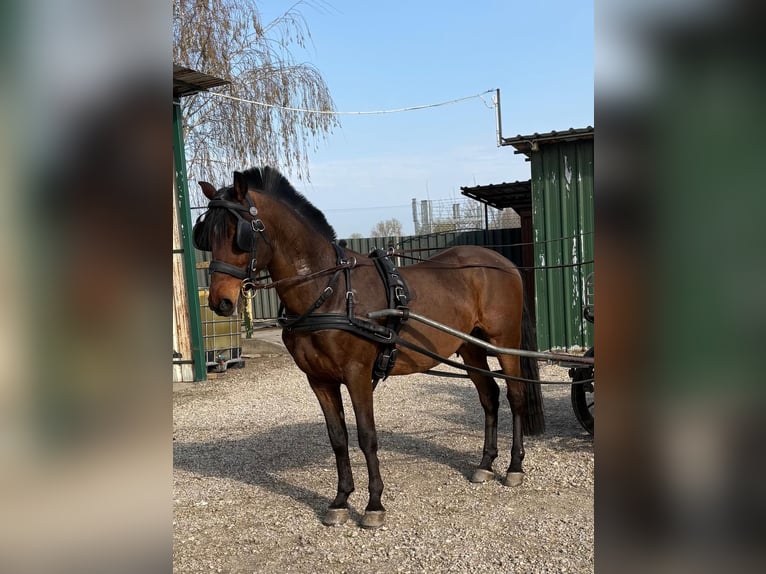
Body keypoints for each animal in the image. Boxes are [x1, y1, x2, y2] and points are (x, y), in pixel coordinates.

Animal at [192, 166, 544, 529]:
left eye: (238, 233)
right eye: (206, 236)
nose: (220, 302)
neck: (330, 290)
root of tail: (502, 262)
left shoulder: (357, 375)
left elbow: (366, 436)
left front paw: (374, 504)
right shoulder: (319, 380)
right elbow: (338, 438)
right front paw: (340, 500)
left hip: (505, 344)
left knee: (516, 396)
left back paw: (514, 467)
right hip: (471, 348)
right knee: (489, 397)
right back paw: (485, 464)